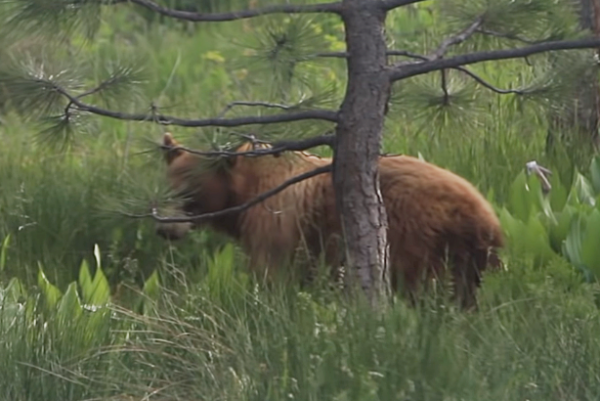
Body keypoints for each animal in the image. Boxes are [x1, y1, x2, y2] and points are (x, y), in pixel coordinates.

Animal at [155, 131, 502, 310]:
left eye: (191, 194)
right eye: (165, 188)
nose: (164, 228)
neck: (246, 189)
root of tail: (481, 215)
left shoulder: (275, 226)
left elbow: (272, 276)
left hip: (417, 241)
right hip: (472, 259)